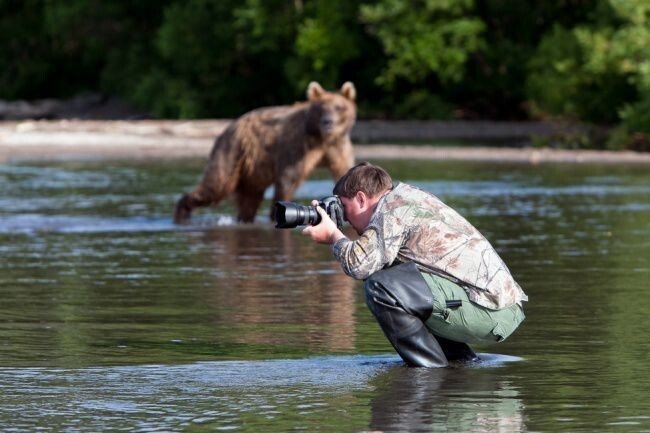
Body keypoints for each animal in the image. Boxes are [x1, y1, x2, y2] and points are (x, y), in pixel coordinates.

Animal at [172, 80, 354, 223]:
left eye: (339, 107)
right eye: (321, 107)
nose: (328, 122)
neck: (321, 138)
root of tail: (228, 128)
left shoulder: (337, 147)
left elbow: (344, 172)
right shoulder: (298, 146)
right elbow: (288, 178)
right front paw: (276, 213)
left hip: (252, 169)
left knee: (250, 199)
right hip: (231, 152)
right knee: (216, 186)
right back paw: (182, 213)